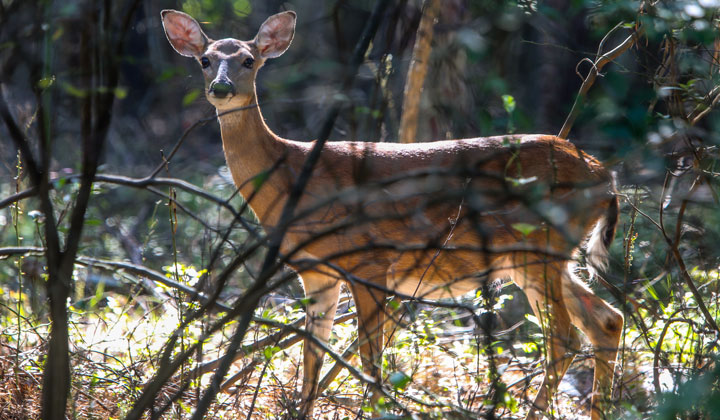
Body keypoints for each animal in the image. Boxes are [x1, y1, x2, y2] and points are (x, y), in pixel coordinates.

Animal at [163, 9, 624, 420]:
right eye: (205, 59)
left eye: (248, 60)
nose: (221, 87)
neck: (293, 175)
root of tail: (605, 175)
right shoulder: (316, 272)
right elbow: (312, 362)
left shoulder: (370, 261)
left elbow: (371, 362)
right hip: (543, 256)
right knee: (606, 320)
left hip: (538, 247)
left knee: (564, 336)